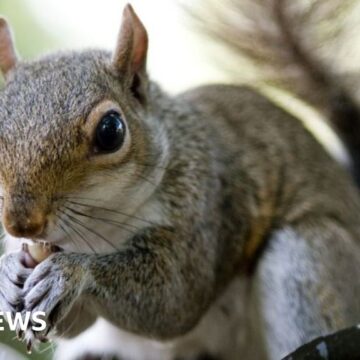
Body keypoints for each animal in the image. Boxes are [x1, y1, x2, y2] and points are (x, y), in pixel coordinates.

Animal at [0, 2, 358, 360]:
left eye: (111, 131)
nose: (21, 224)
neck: (102, 227)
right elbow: (77, 323)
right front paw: (6, 273)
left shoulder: (204, 201)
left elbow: (175, 299)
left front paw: (70, 271)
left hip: (307, 258)